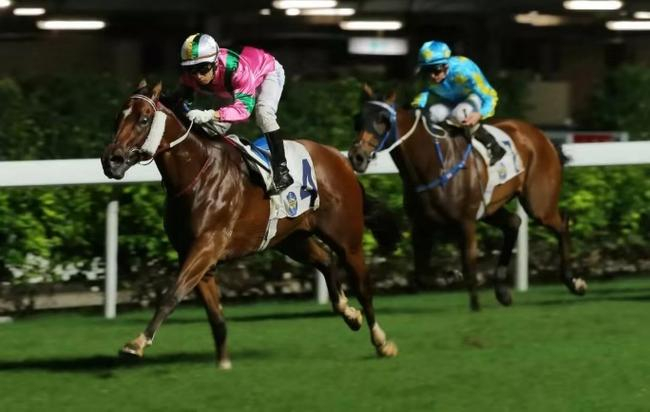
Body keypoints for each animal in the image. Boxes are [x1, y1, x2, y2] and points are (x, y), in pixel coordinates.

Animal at [101, 80, 399, 368]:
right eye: (117, 118)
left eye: (144, 119)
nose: (111, 160)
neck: (195, 174)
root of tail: (340, 159)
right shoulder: (194, 253)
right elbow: (215, 315)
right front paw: (223, 363)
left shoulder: (207, 246)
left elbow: (172, 293)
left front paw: (137, 343)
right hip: (292, 239)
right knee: (325, 260)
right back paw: (349, 313)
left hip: (347, 239)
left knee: (363, 287)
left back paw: (382, 341)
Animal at [347, 85, 587, 311]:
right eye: (358, 119)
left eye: (382, 119)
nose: (356, 157)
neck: (432, 164)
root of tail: (541, 135)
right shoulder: (422, 225)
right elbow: (420, 275)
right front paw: (450, 276)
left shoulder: (466, 221)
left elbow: (468, 264)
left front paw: (475, 304)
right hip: (491, 207)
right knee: (513, 223)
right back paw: (502, 291)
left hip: (538, 203)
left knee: (561, 223)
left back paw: (573, 282)